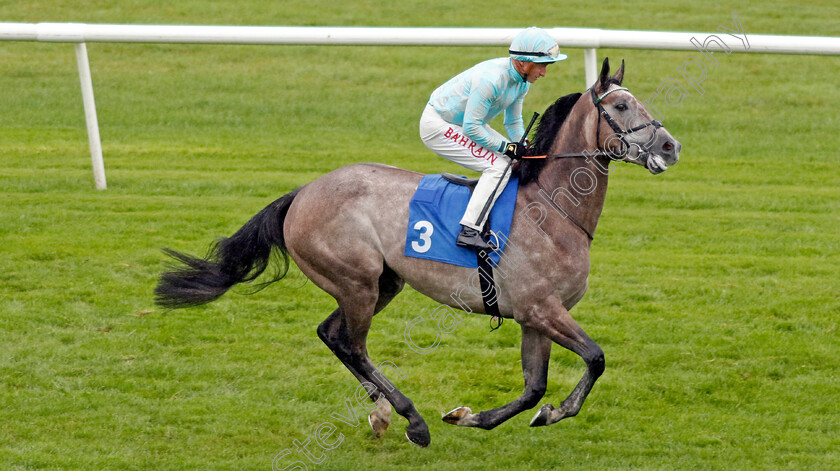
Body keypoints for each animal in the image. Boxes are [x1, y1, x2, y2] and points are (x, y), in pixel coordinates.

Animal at [156, 57, 684, 448]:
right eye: (621, 105)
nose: (670, 146)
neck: (553, 211)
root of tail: (303, 192)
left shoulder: (535, 317)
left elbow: (534, 388)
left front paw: (477, 416)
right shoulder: (542, 308)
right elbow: (595, 358)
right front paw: (552, 412)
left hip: (382, 283)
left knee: (332, 335)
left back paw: (381, 412)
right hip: (356, 280)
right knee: (352, 344)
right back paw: (411, 420)